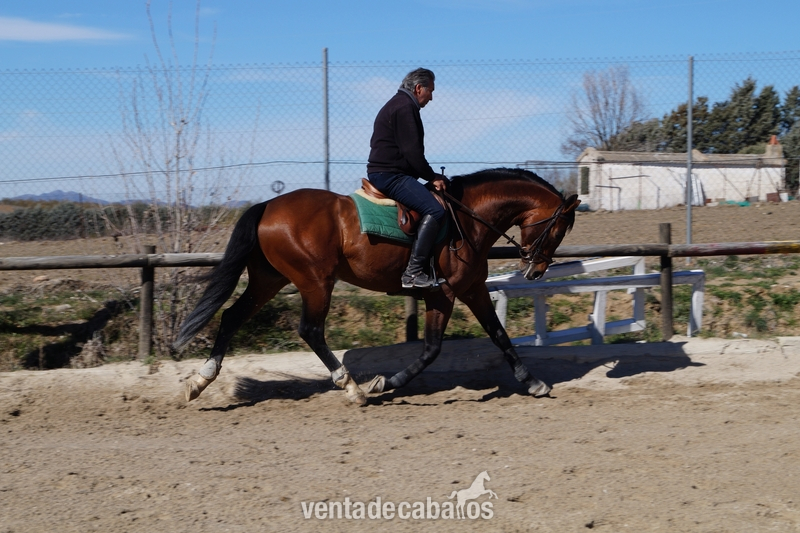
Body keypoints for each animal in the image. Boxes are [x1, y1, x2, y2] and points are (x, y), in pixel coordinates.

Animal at [175, 167, 580, 405]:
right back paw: (351, 386)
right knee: (311, 330)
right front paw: (383, 384)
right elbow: (432, 349)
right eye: (558, 230)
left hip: (269, 279)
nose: (535, 272)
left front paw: (533, 382)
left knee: (231, 317)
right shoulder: (445, 294)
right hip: (315, 282)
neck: (467, 217)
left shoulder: (471, 289)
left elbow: (499, 335)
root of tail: (269, 205)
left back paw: (200, 381)